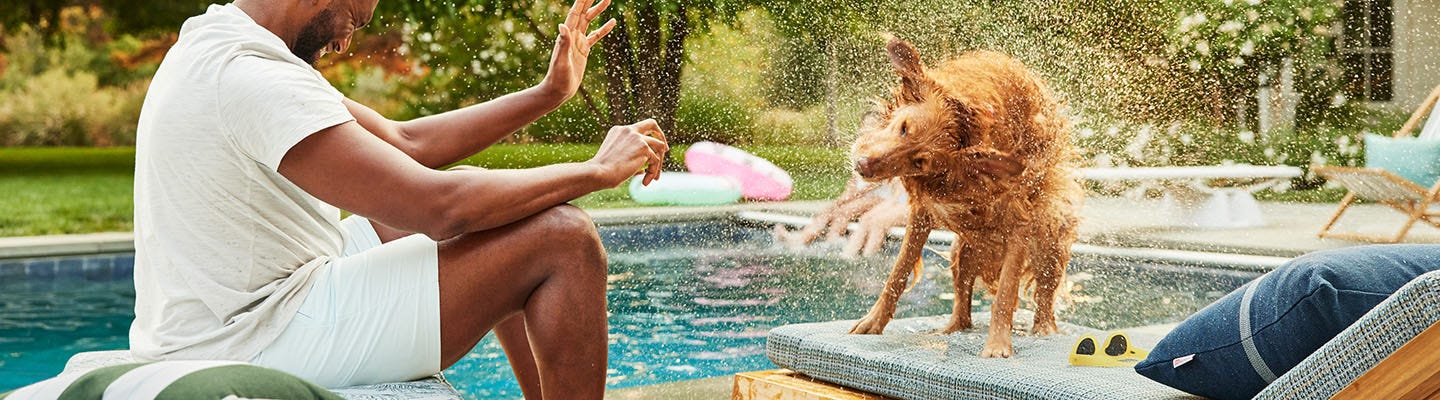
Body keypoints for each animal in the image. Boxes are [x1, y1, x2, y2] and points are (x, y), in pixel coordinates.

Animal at [840, 36, 1082, 356]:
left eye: (920, 161)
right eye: (904, 127)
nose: (864, 165)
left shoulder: (1019, 222)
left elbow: (1005, 293)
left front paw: (998, 345)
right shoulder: (922, 213)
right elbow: (899, 271)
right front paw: (873, 321)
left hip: (1049, 244)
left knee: (1044, 295)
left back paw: (1043, 330)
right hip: (962, 250)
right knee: (963, 307)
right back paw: (951, 328)